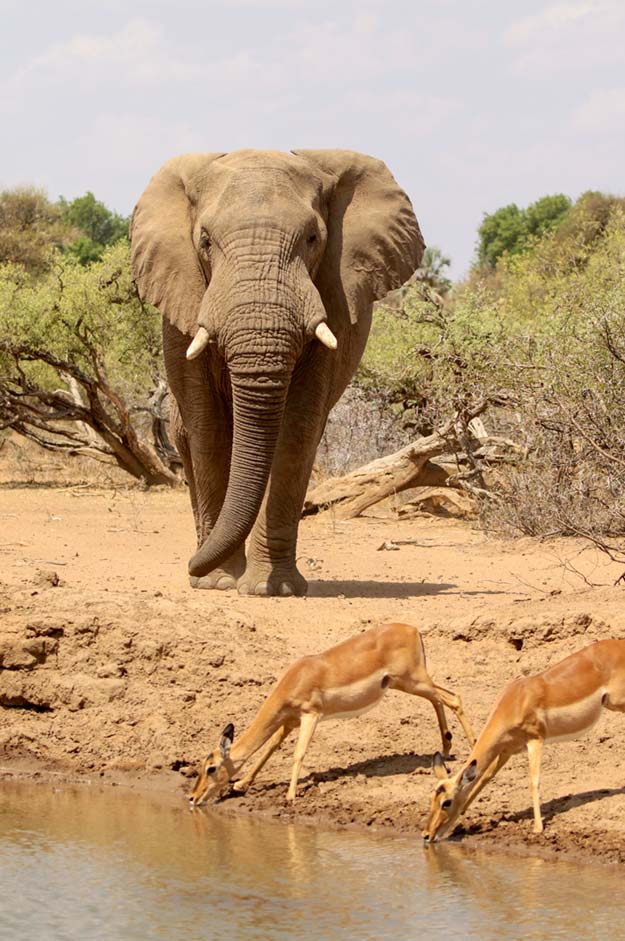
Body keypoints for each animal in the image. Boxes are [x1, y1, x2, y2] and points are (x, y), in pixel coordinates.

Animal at [131, 149, 424, 596]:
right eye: (205, 242)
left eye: (313, 239)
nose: (189, 565)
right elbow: (208, 426)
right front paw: (218, 583)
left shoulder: (333, 300)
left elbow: (298, 428)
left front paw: (274, 589)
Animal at [189, 622, 475, 806]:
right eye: (201, 766)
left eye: (211, 768)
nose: (192, 797)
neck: (297, 677)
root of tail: (413, 629)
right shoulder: (290, 721)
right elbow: (271, 746)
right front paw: (242, 784)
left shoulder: (310, 715)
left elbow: (298, 752)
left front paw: (290, 796)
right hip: (407, 683)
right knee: (440, 699)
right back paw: (446, 747)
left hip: (414, 681)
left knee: (454, 698)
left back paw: (470, 748)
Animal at [423, 639, 625, 842]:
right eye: (432, 798)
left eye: (446, 802)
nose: (426, 835)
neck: (514, 702)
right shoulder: (507, 750)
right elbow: (486, 777)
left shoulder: (535, 740)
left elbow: (533, 780)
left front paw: (537, 828)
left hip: (617, 703)